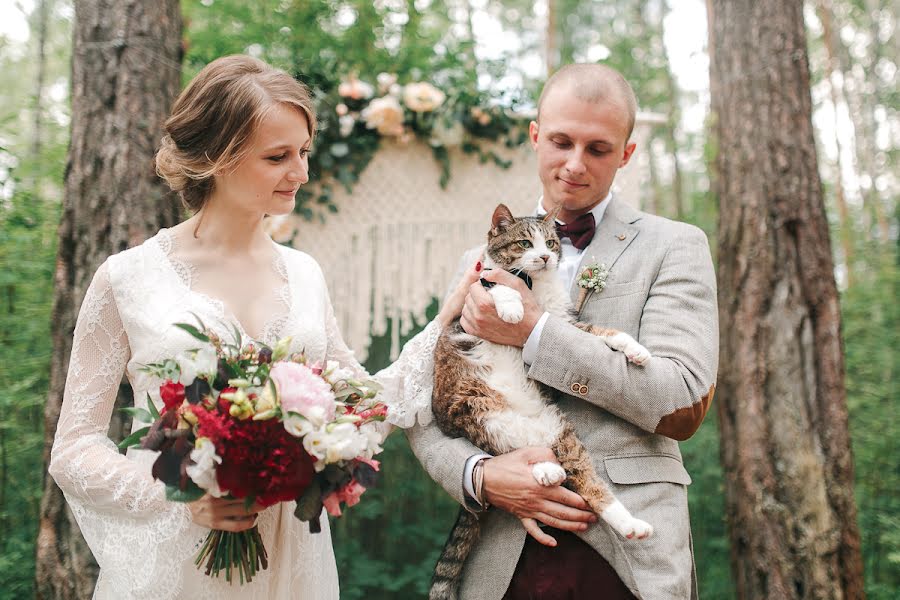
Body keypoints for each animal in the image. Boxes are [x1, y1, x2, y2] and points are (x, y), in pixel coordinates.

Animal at [430, 204, 652, 596]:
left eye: (549, 242)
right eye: (523, 243)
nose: (546, 257)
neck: (534, 286)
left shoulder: (561, 321)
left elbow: (601, 333)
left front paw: (635, 349)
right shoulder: (472, 300)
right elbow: (498, 285)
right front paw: (512, 309)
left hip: (557, 432)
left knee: (587, 481)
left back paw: (628, 524)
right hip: (475, 411)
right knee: (502, 450)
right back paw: (546, 471)